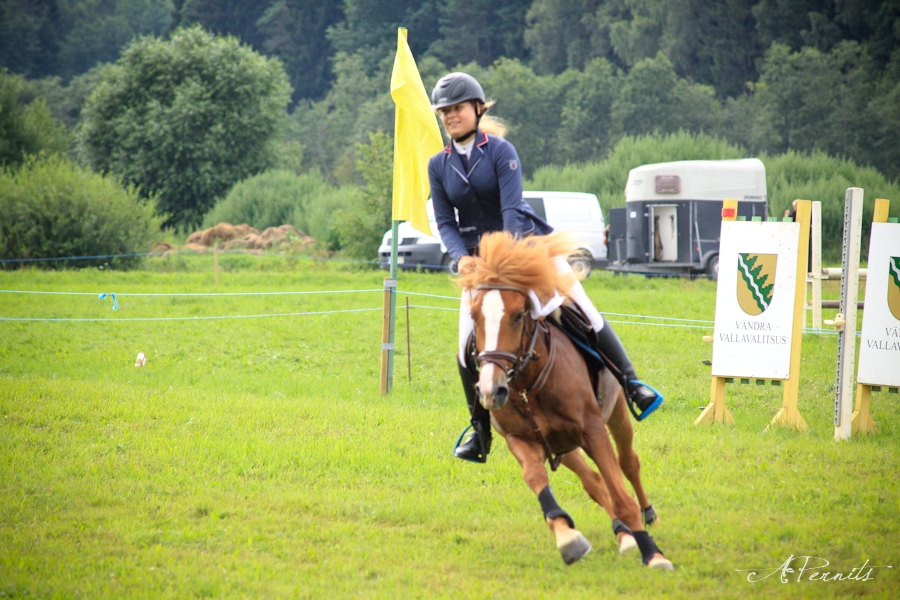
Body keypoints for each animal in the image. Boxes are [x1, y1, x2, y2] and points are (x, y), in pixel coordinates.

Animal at [457, 231, 673, 569]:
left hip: (616, 415)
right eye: (474, 317)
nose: (492, 391)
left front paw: (653, 554)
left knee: (628, 462)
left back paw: (647, 516)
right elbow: (538, 478)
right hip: (562, 444)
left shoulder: (592, 429)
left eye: (517, 316)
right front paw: (568, 539)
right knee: (594, 481)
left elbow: (621, 494)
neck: (527, 385)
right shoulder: (521, 439)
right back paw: (623, 535)